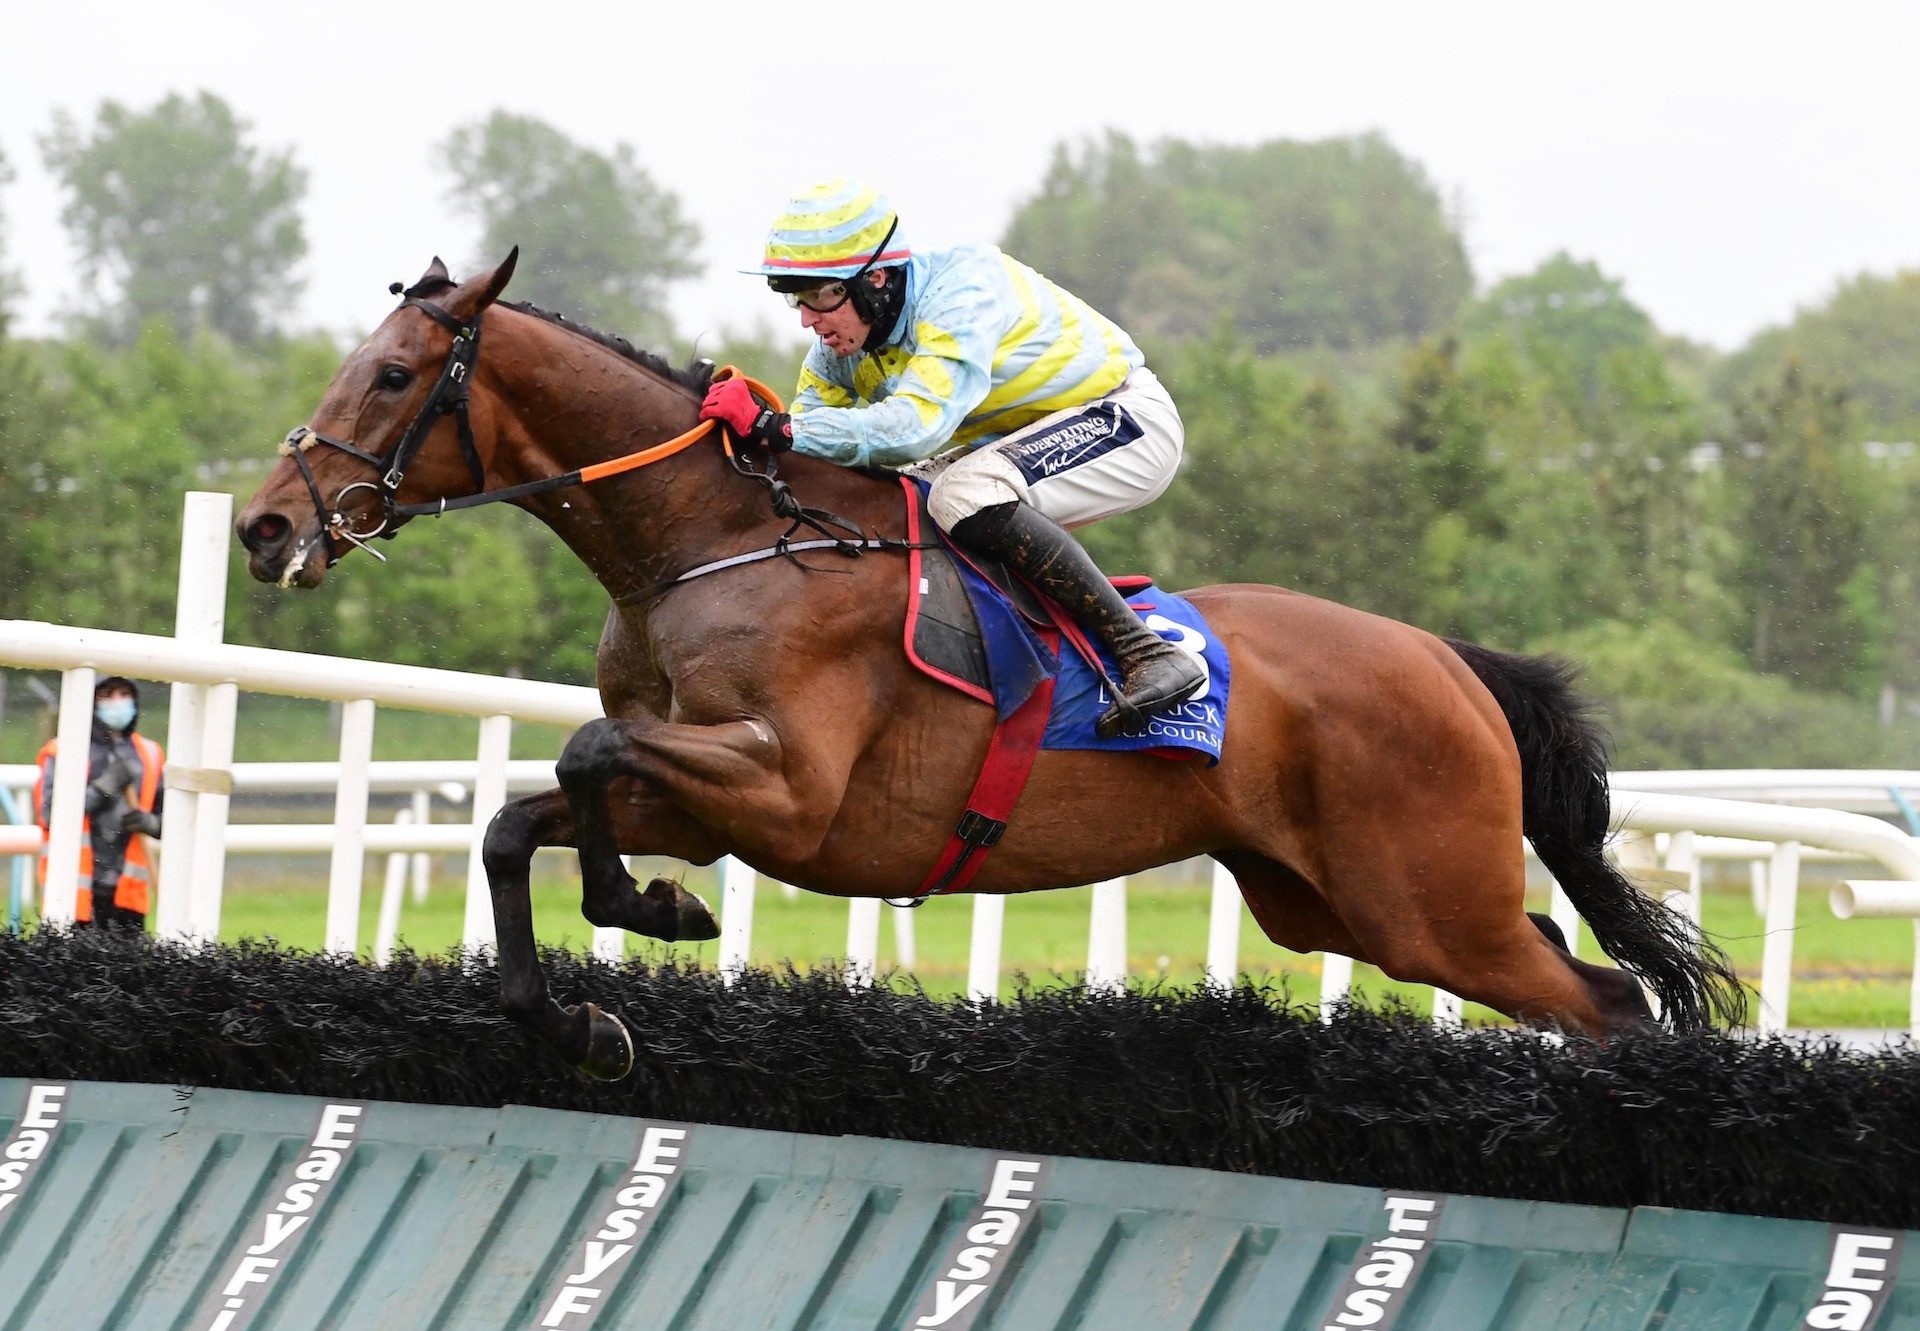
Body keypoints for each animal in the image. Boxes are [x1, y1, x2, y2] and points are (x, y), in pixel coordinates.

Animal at [232, 253, 1751, 1075]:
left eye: (389, 376)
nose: (264, 525)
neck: (714, 541)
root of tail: (1448, 656)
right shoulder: (711, 791)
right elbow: (518, 814)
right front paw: (588, 1001)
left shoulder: (785, 789)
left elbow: (583, 755)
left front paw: (642, 907)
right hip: (1340, 905)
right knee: (1576, 970)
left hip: (1430, 904)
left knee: (1612, 1000)